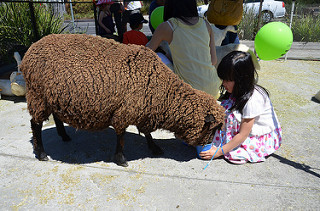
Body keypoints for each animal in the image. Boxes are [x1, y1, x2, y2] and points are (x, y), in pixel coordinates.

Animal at [20, 34, 225, 166]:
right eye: (213, 128)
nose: (206, 145)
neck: (162, 92)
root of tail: (29, 51)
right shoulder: (125, 111)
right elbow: (121, 137)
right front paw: (121, 159)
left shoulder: (142, 110)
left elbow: (146, 133)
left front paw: (154, 147)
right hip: (37, 95)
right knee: (35, 124)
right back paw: (42, 153)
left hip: (54, 95)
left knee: (55, 116)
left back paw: (64, 136)